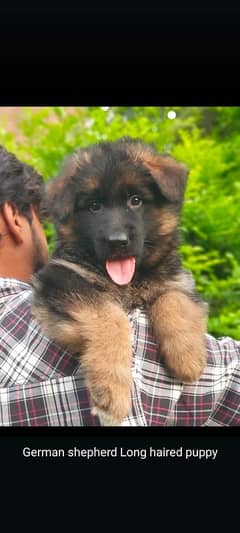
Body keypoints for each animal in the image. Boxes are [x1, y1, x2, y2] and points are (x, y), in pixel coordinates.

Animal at [31, 136, 208, 424]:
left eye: (135, 200)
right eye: (94, 206)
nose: (117, 242)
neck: (129, 283)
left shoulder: (178, 281)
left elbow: (172, 298)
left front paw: (187, 355)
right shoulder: (60, 278)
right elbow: (110, 316)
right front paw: (111, 388)